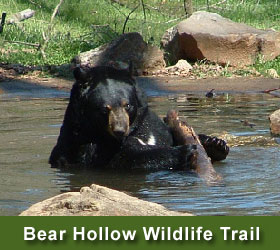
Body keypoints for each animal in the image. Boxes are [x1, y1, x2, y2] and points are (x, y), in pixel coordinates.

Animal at [49, 64, 230, 170]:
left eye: (127, 105)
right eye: (104, 109)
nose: (120, 130)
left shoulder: (151, 123)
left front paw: (216, 144)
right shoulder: (85, 140)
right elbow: (126, 158)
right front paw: (186, 151)